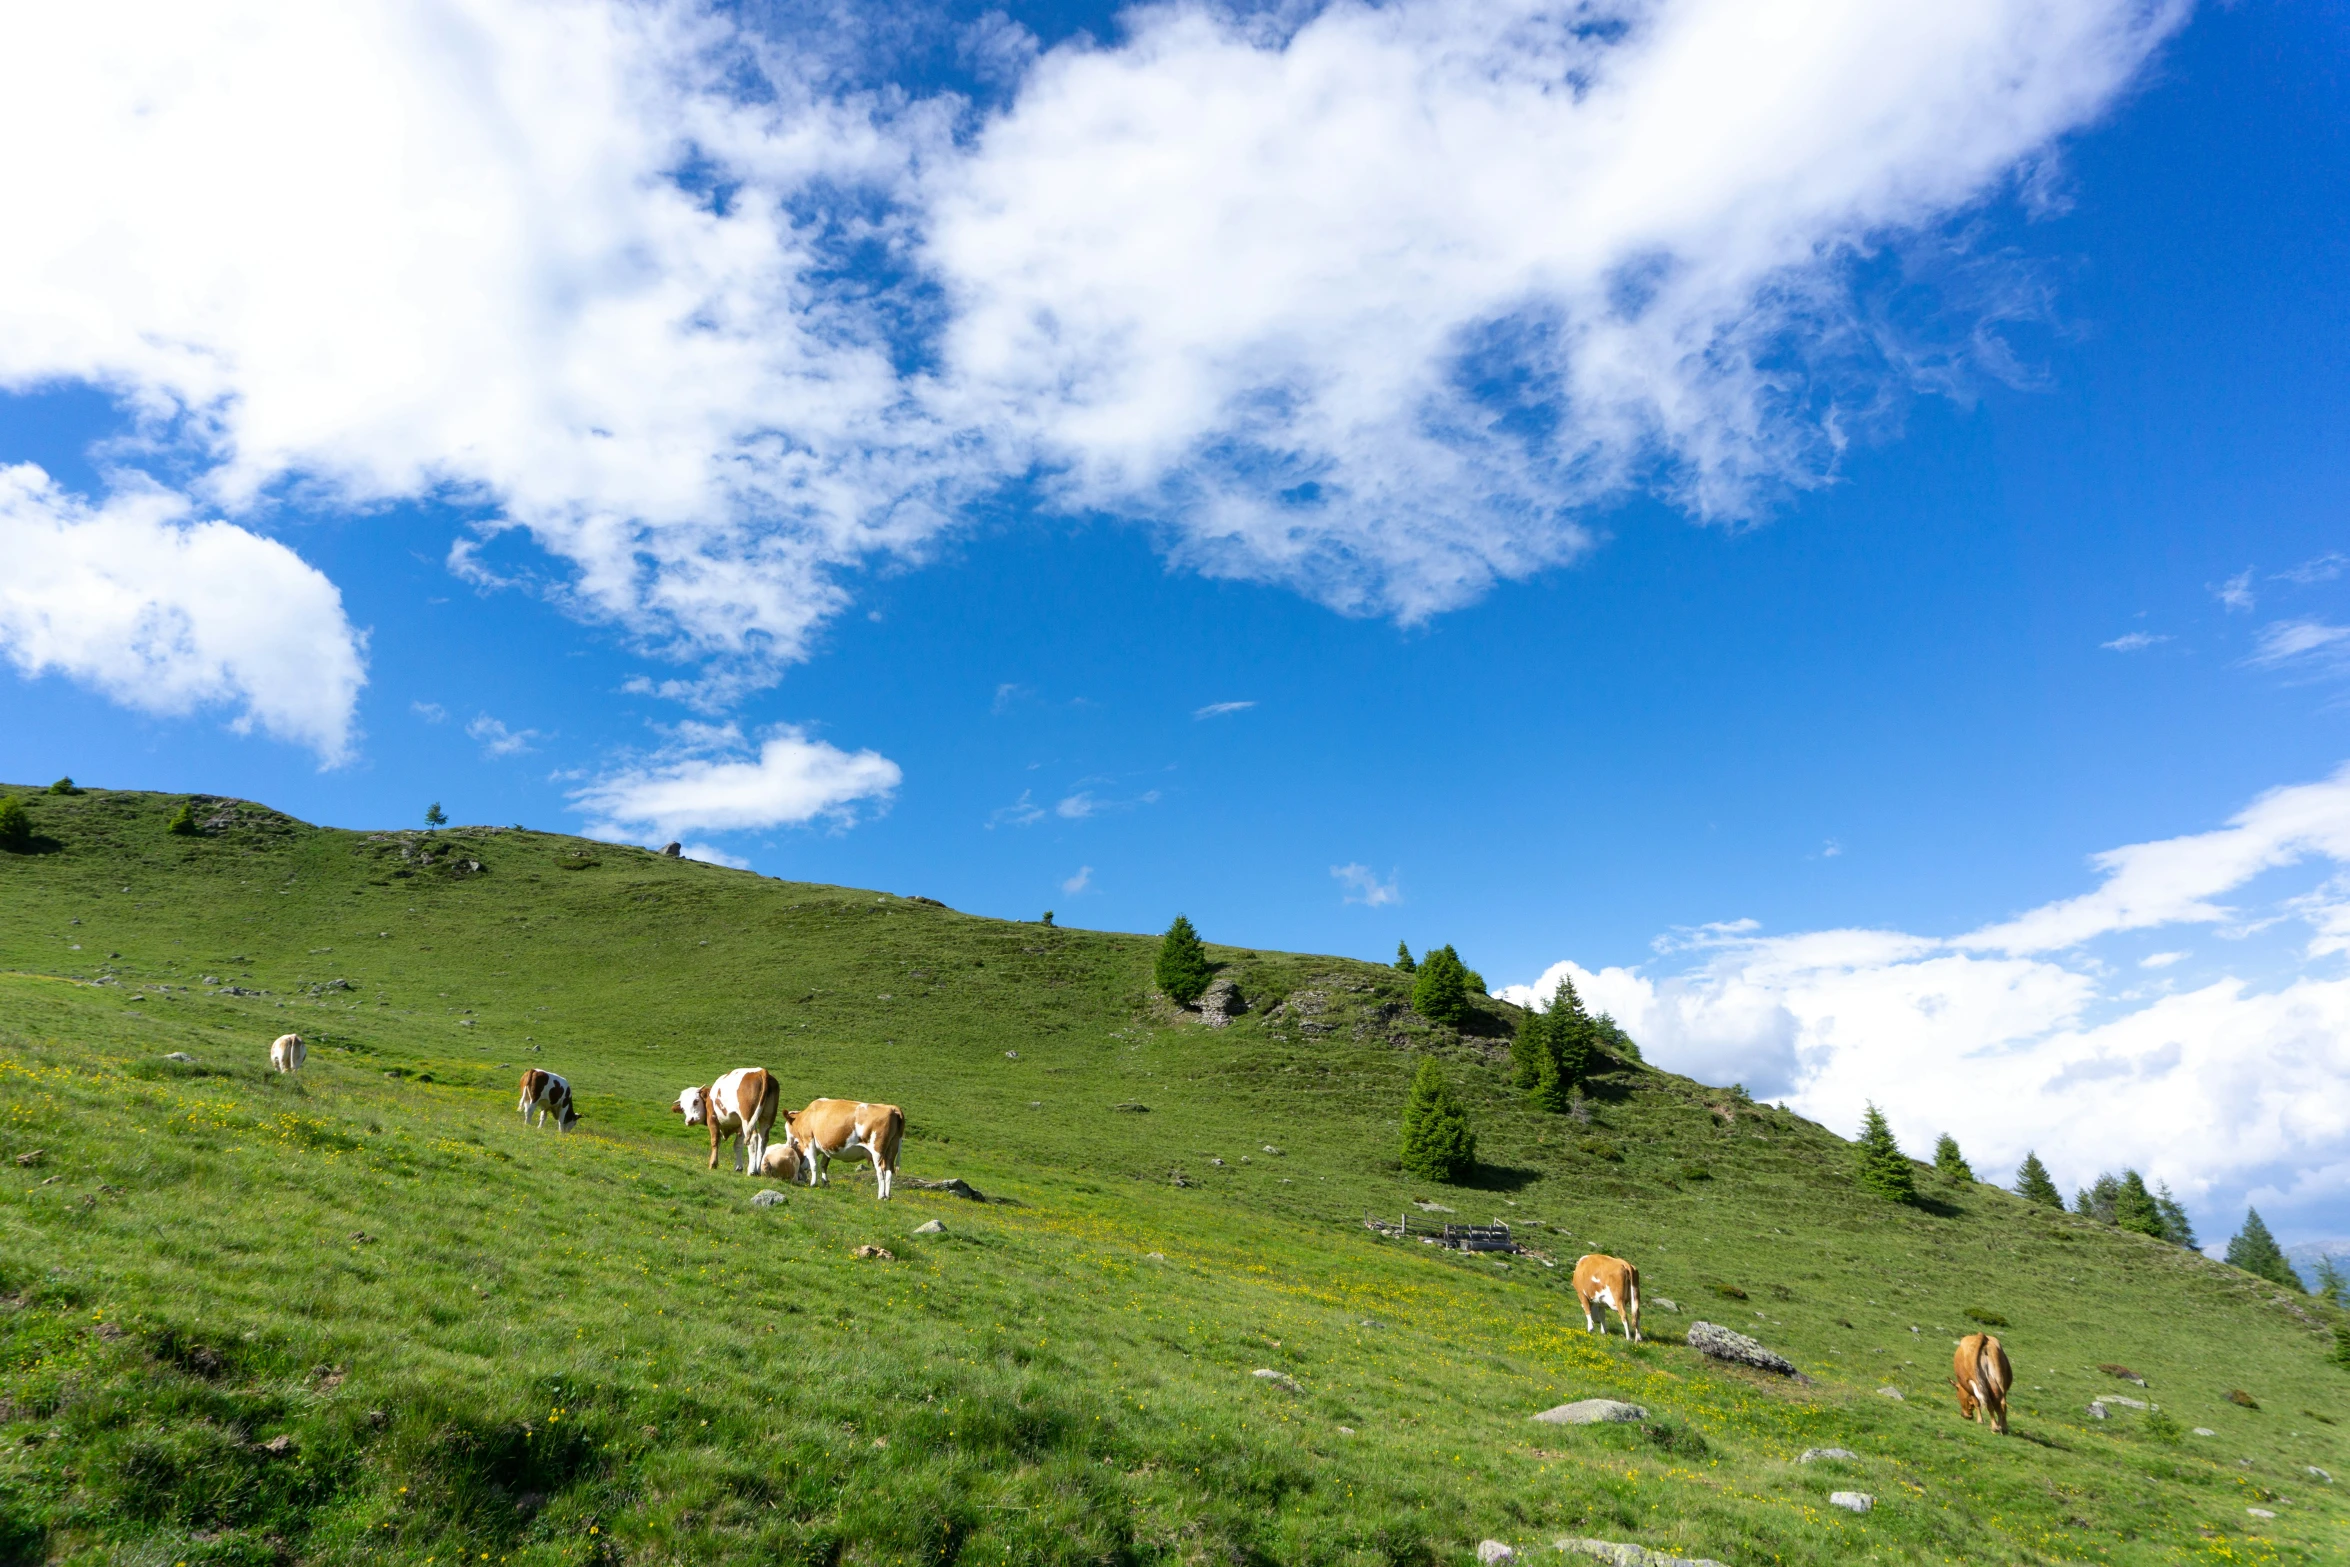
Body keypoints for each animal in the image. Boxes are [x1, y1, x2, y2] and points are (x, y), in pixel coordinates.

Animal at [775, 1104, 911, 1202]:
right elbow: (824, 1164)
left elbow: (814, 1164)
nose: (787, 1144)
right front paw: (825, 1183)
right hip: (891, 1151)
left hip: (878, 1151)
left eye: (786, 1128)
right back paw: (887, 1196)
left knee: (880, 1172)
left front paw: (813, 1183)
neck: (806, 1116)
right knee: (889, 1171)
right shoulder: (827, 1146)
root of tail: (892, 1108)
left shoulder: (809, 1140)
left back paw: (881, 1195)